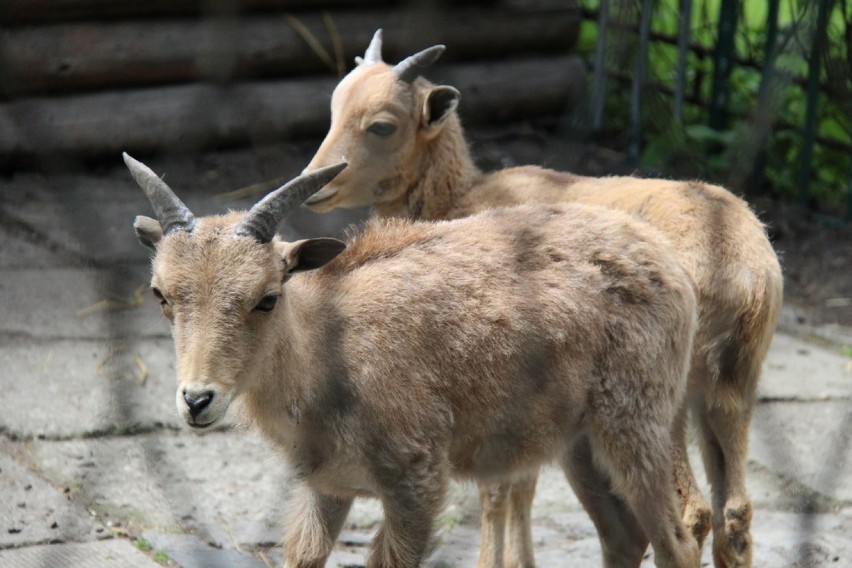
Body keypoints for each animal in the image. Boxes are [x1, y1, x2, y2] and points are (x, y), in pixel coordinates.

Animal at [125, 153, 700, 564]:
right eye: (161, 293)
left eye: (266, 297)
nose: (198, 400)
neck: (330, 353)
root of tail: (666, 258)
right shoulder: (326, 487)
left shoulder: (416, 481)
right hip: (578, 442)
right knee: (624, 537)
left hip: (635, 421)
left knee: (676, 540)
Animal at [302, 32, 784, 568]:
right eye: (334, 106)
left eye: (382, 126)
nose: (316, 183)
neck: (461, 198)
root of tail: (745, 275)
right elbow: (521, 484)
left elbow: (498, 489)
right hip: (732, 387)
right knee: (735, 511)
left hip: (662, 395)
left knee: (692, 511)